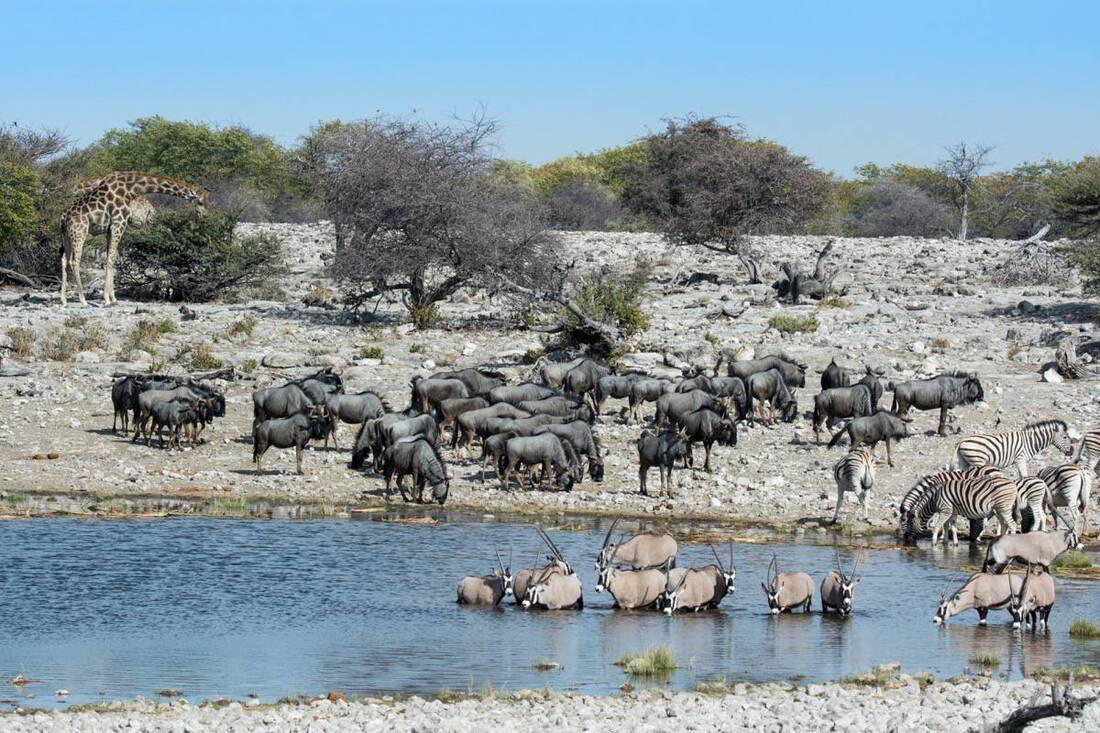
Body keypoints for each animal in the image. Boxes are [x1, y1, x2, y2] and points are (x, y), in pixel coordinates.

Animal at [59, 172, 209, 306]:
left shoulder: (111, 228)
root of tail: (62, 217)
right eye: (200, 202)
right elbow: (111, 258)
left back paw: (64, 300)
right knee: (74, 261)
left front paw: (113, 298)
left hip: (66, 236)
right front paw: (107, 299)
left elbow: (111, 258)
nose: (205, 216)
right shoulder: (119, 223)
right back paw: (83, 300)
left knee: (64, 260)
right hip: (80, 233)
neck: (131, 189)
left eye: (208, 201)